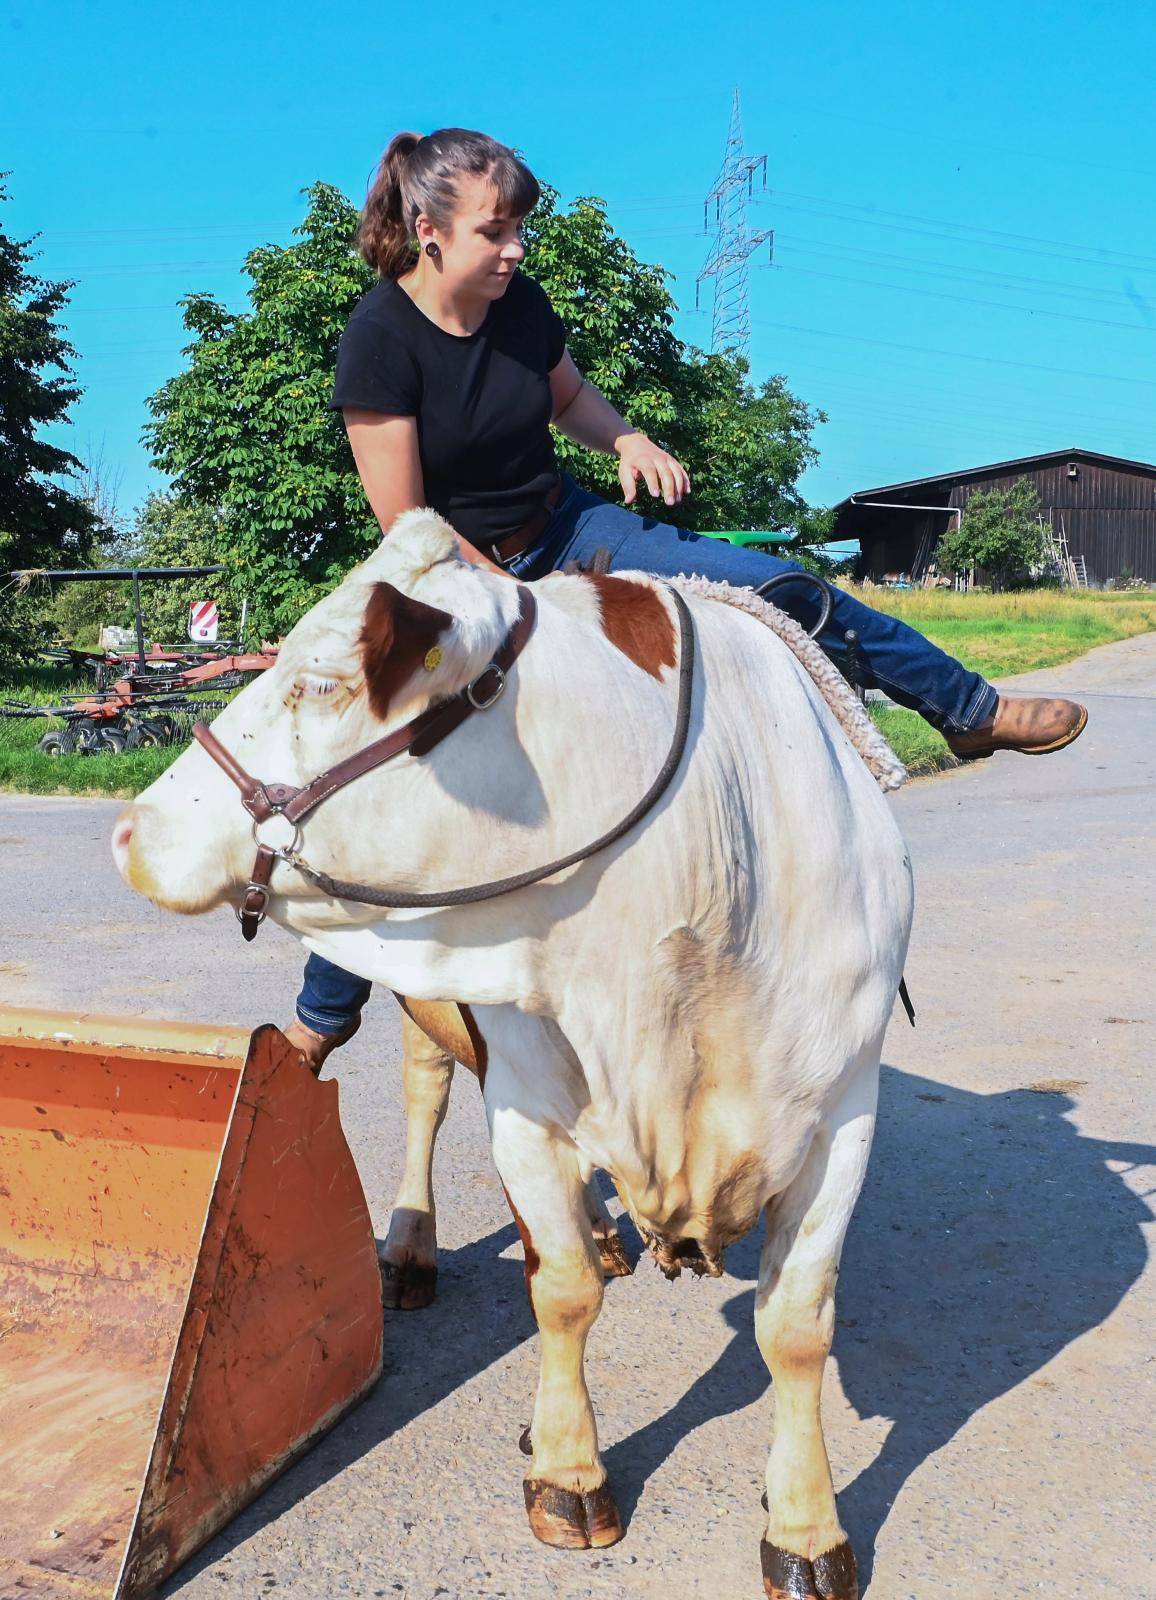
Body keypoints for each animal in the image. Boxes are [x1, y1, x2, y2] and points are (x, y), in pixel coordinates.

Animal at [114, 512, 909, 1600]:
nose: (130, 830)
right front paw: (568, 1472)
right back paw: (412, 1247)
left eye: (318, 681)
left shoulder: (843, 1110)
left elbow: (795, 1328)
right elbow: (560, 1289)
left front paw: (807, 1528)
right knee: (425, 1097)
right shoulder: (526, 1088)